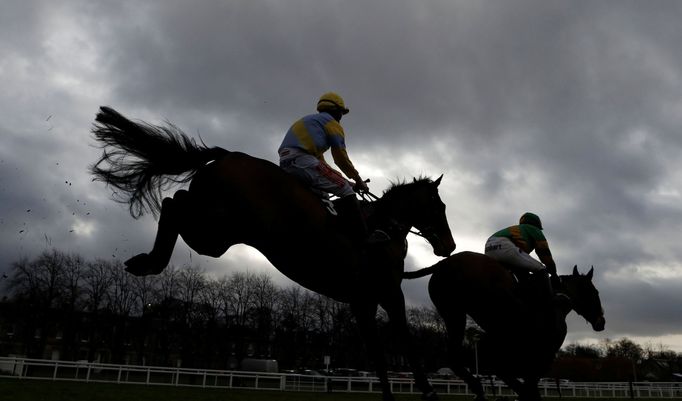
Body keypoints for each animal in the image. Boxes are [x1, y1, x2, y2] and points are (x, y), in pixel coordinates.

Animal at [89, 107, 452, 400]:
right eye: (440, 206)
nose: (449, 246)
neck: (384, 227)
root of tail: (228, 155)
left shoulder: (362, 301)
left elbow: (376, 352)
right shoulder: (389, 293)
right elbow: (405, 340)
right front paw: (429, 391)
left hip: (218, 233)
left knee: (174, 203)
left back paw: (146, 261)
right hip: (218, 230)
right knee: (172, 204)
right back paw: (150, 261)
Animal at [402, 252, 604, 398]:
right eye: (594, 292)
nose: (601, 321)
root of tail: (443, 263)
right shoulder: (542, 353)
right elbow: (526, 387)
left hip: (452, 313)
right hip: (455, 312)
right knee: (452, 356)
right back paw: (476, 388)